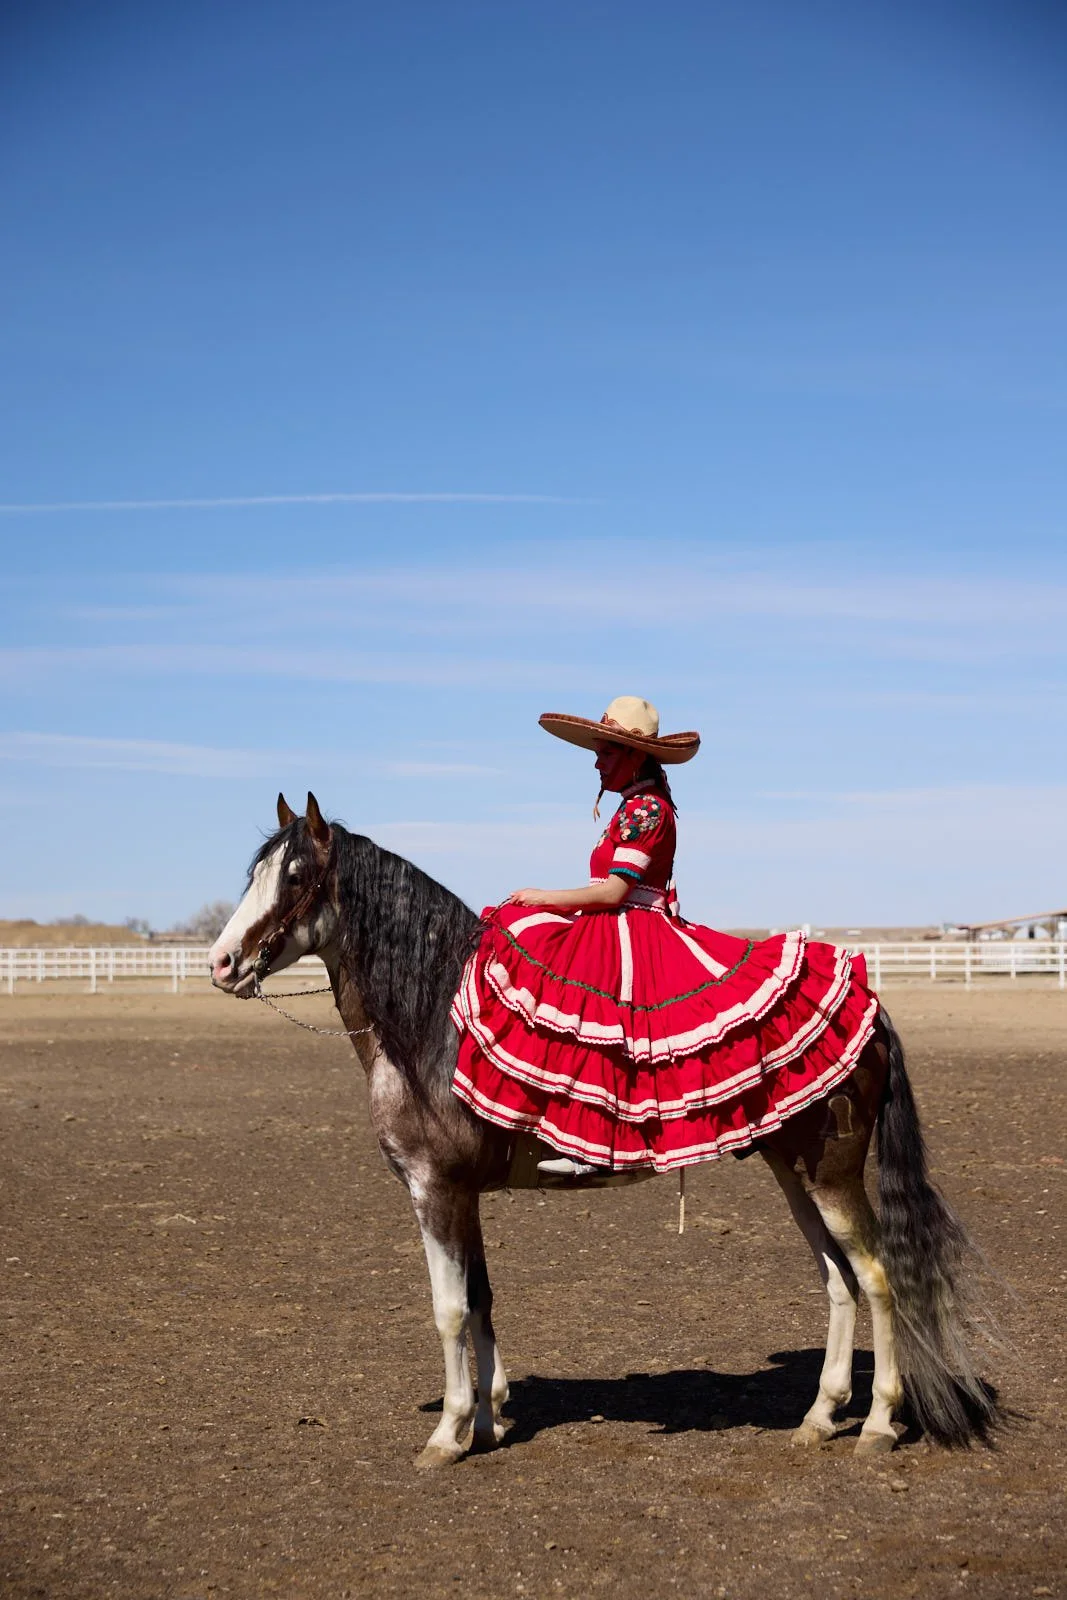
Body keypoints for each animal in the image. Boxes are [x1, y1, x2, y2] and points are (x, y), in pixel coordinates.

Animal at [208, 792, 996, 1468]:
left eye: (297, 876)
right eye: (253, 873)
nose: (221, 963)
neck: (432, 1022)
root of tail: (870, 1002)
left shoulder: (435, 1190)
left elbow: (448, 1310)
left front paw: (449, 1433)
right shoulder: (464, 1195)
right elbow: (482, 1299)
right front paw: (490, 1421)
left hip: (831, 1175)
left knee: (879, 1277)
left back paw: (876, 1425)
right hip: (791, 1172)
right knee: (837, 1280)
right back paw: (819, 1417)